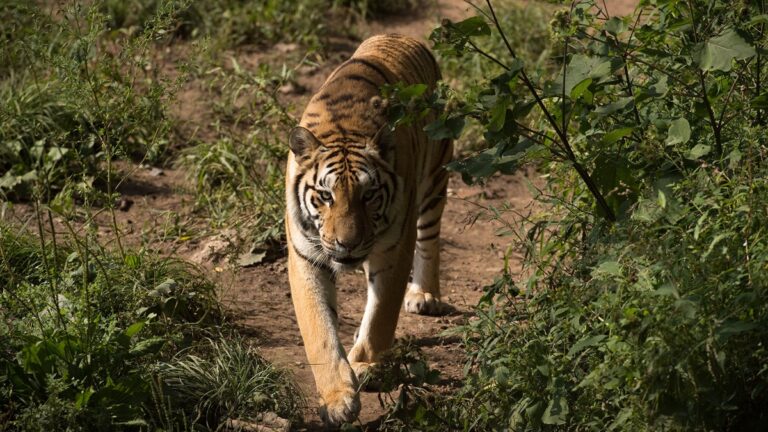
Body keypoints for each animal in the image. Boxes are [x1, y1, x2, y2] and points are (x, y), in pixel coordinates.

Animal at [284, 33, 453, 425]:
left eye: (369, 195)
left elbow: (381, 316)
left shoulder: (393, 251)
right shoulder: (305, 258)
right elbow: (320, 330)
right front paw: (337, 399)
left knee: (430, 238)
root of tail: (399, 36)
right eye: (325, 196)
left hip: (435, 178)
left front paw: (366, 367)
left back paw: (425, 294)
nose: (347, 244)